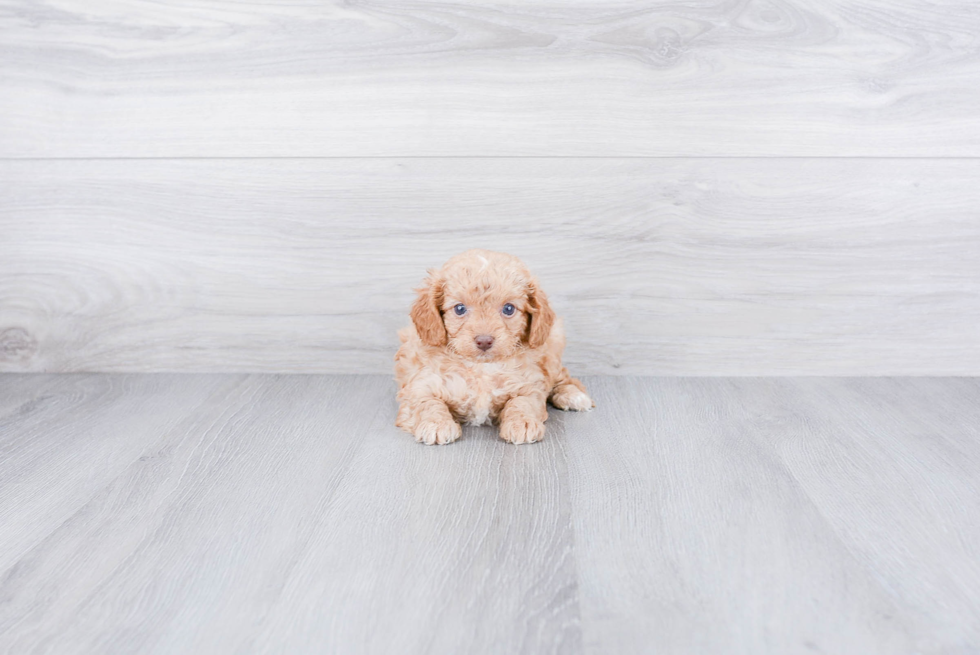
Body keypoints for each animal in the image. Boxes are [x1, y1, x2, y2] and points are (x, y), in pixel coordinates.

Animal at [394, 251, 592, 446]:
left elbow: (523, 401)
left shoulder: (530, 383)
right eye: (459, 309)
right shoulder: (420, 384)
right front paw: (436, 424)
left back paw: (573, 396)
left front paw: (523, 423)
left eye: (509, 309)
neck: (482, 368)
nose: (484, 341)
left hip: (552, 346)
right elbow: (427, 402)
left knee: (563, 377)